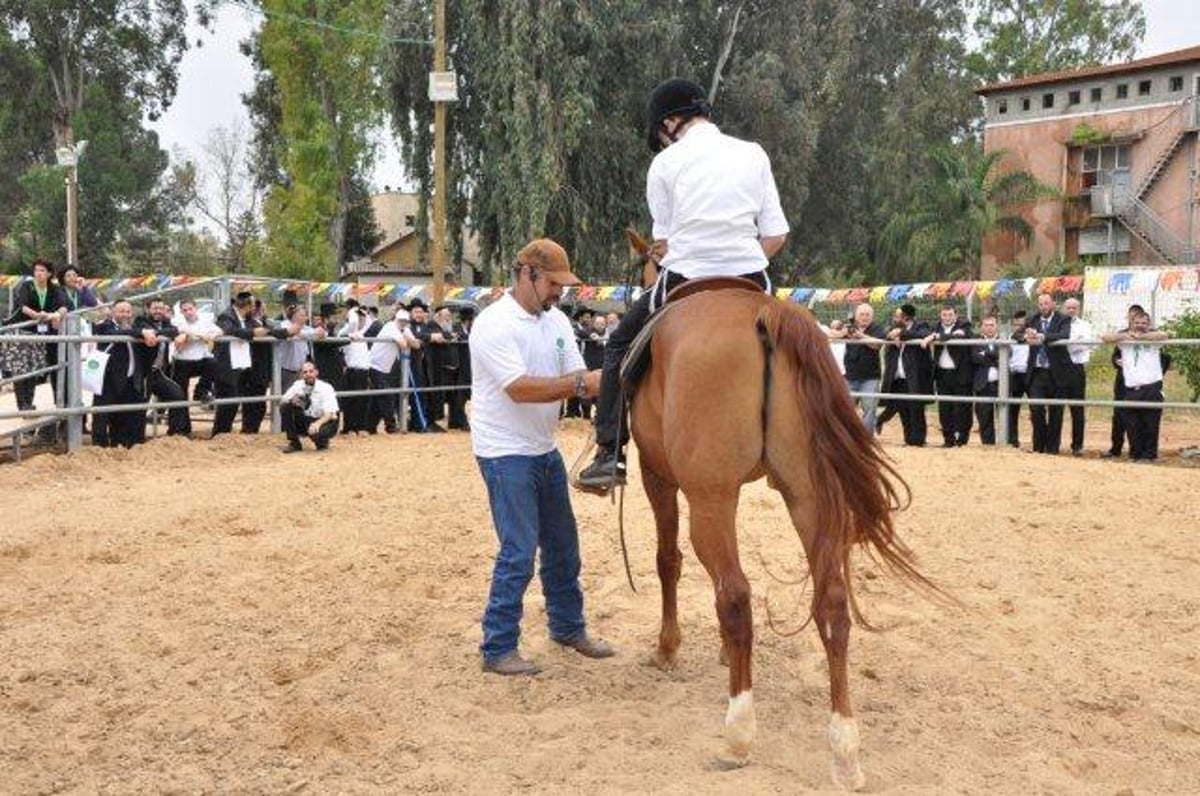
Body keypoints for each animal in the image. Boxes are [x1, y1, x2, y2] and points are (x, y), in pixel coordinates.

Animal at [628, 237, 926, 792]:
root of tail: (766, 316)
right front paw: (724, 653)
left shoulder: (658, 474)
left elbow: (667, 560)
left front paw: (668, 648)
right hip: (807, 498)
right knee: (831, 604)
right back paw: (844, 750)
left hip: (709, 499)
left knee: (735, 596)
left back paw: (738, 735)